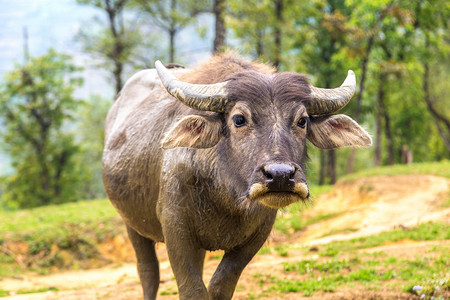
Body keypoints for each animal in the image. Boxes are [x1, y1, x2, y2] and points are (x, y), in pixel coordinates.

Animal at [103, 52, 370, 298]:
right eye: (239, 119)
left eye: (302, 121)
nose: (281, 176)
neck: (225, 197)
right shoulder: (176, 230)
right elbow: (193, 290)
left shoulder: (257, 233)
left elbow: (220, 286)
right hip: (132, 224)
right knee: (148, 272)